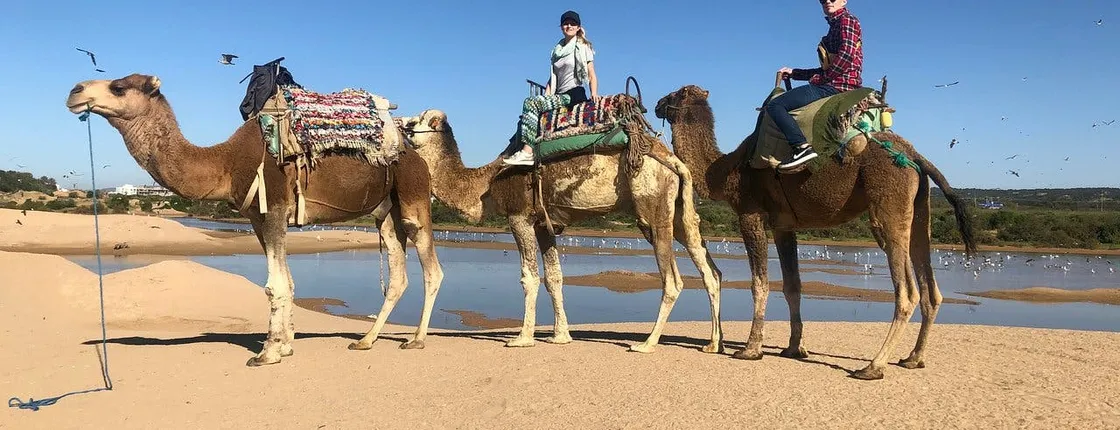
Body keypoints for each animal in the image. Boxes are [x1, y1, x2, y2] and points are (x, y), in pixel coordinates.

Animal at [65, 73, 445, 366]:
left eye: (117, 86)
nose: (75, 91)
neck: (226, 163)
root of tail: (413, 152)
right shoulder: (257, 219)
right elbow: (286, 281)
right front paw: (286, 345)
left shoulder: (274, 206)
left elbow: (274, 285)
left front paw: (268, 353)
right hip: (385, 210)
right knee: (397, 270)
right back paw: (365, 340)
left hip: (413, 193)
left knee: (431, 266)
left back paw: (417, 339)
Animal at [398, 107, 725, 353]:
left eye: (414, 122)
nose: (399, 123)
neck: (485, 184)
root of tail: (671, 158)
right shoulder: (546, 224)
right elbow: (555, 278)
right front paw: (560, 336)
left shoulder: (519, 216)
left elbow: (529, 277)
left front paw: (522, 338)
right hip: (680, 211)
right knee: (709, 269)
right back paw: (712, 344)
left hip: (652, 207)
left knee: (673, 280)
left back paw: (647, 343)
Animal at [654, 84, 977, 380]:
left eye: (674, 94)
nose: (656, 104)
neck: (724, 172)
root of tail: (915, 155)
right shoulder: (784, 225)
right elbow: (792, 286)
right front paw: (794, 348)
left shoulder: (750, 215)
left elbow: (759, 284)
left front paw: (751, 349)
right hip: (921, 207)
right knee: (929, 286)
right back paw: (913, 357)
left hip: (889, 202)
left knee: (906, 290)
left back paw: (873, 366)